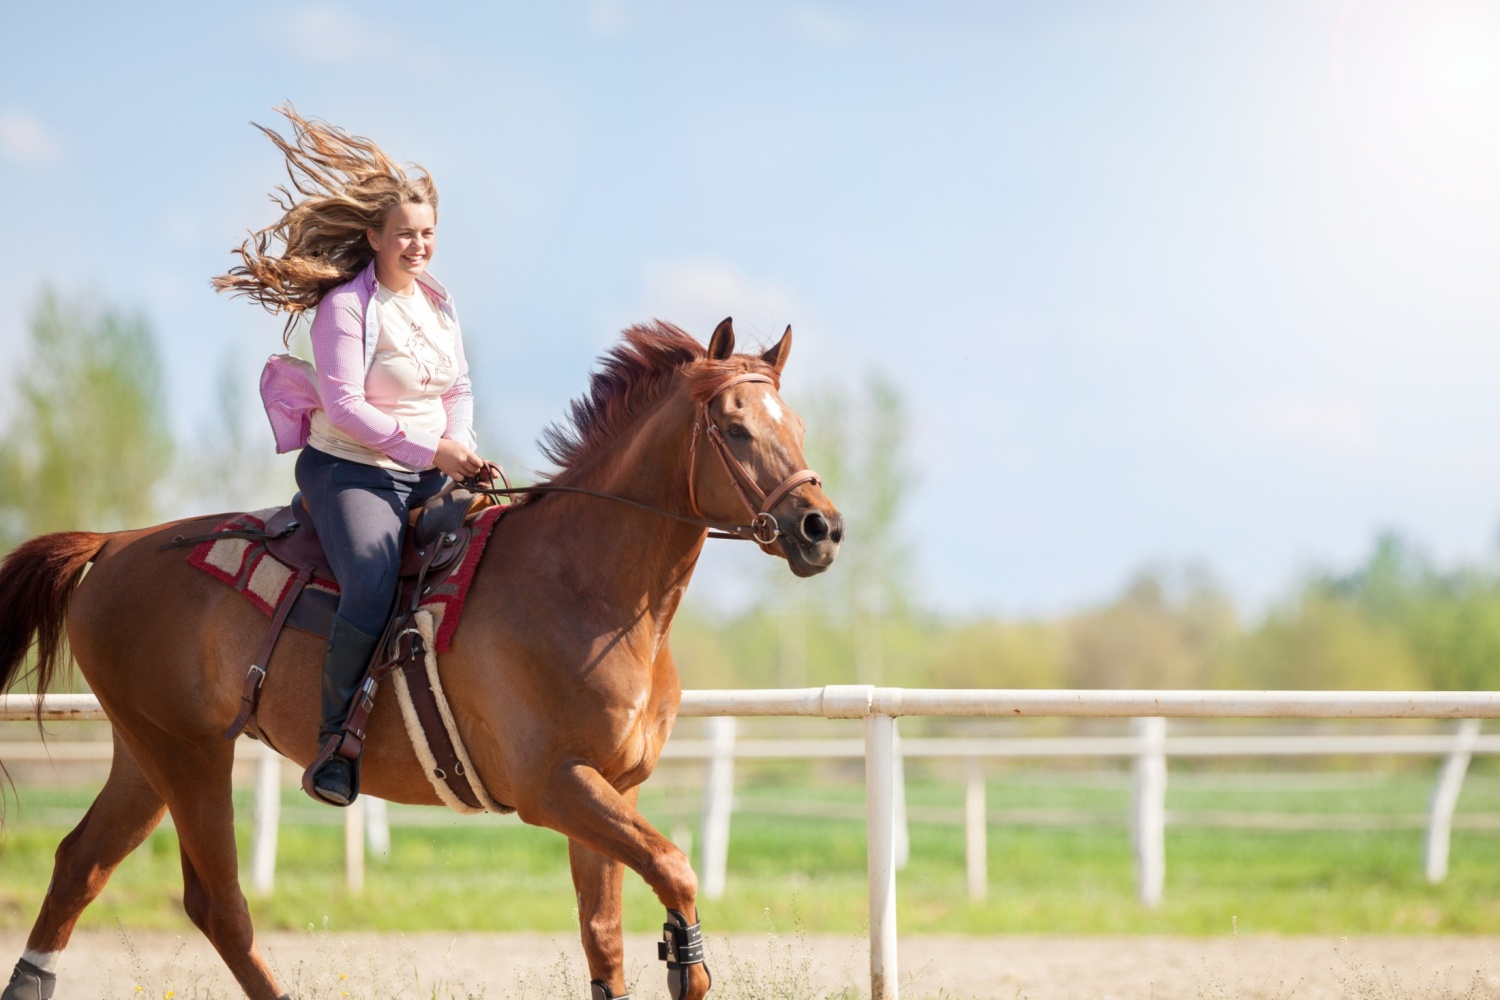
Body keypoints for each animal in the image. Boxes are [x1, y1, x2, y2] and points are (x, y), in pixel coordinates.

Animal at [0, 318, 843, 1000]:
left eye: (799, 423)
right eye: (735, 427)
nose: (821, 528)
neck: (583, 584)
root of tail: (115, 543)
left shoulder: (611, 789)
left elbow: (604, 938)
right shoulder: (553, 787)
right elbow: (675, 868)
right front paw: (685, 953)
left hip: (145, 756)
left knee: (80, 866)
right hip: (189, 756)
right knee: (220, 906)